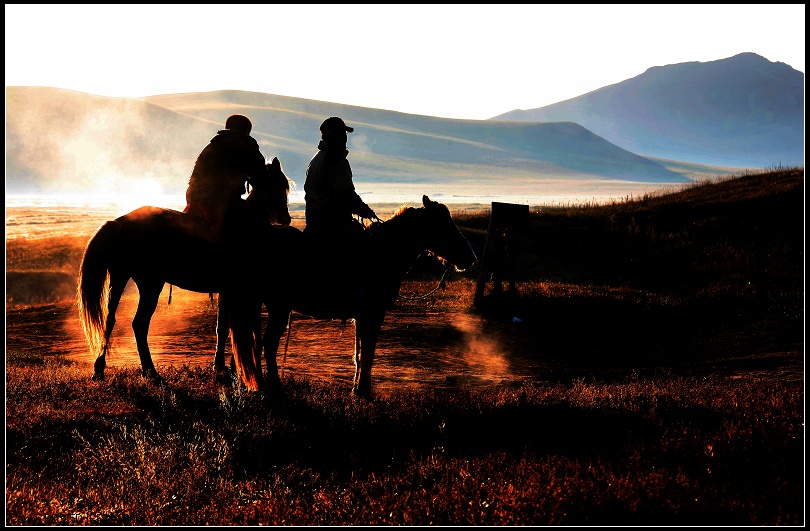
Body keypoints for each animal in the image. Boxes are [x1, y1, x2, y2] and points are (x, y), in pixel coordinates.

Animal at [76, 156, 290, 384]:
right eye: (277, 185)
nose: (286, 218)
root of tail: (117, 223)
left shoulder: (226, 291)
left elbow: (223, 327)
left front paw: (220, 366)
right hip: (150, 284)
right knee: (139, 324)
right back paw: (150, 371)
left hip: (120, 278)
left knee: (110, 320)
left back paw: (101, 369)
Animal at [226, 197, 480, 396]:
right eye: (442, 224)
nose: (471, 257)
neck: (383, 252)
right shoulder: (374, 314)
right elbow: (367, 352)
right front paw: (365, 390)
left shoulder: (361, 316)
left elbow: (359, 352)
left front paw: (356, 389)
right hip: (278, 307)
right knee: (268, 344)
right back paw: (274, 387)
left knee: (256, 343)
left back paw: (257, 384)